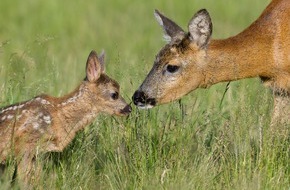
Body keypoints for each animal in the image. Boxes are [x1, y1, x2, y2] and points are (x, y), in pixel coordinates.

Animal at [0, 50, 131, 186]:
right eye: (114, 94)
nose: (129, 108)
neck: (58, 116)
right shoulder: (25, 143)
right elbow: (24, 180)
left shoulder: (38, 153)